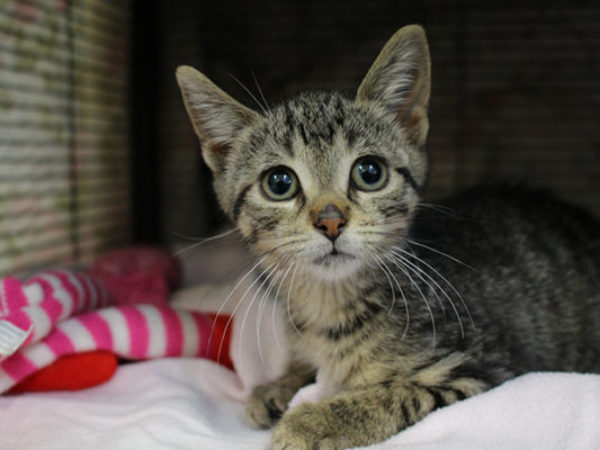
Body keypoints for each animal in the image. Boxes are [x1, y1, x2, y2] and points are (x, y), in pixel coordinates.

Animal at [176, 25, 600, 450]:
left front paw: (311, 421)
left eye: (369, 173)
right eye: (279, 183)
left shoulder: (481, 371)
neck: (328, 305)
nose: (331, 222)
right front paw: (278, 385)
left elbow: (394, 394)